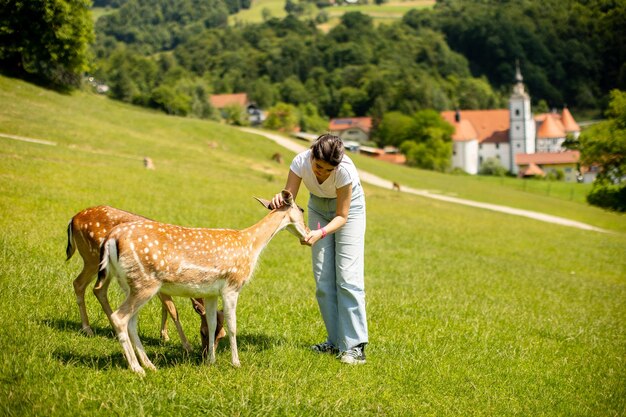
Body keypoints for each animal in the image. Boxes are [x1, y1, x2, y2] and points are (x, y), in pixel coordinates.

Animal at [66, 205, 225, 352]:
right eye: (203, 332)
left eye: (222, 336)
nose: (205, 354)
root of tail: (73, 219)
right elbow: (173, 310)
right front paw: (187, 346)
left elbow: (165, 308)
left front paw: (164, 336)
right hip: (92, 258)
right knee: (79, 283)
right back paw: (88, 329)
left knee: (96, 289)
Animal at [98, 190, 310, 372]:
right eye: (302, 210)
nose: (307, 233)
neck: (251, 245)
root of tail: (111, 238)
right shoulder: (232, 285)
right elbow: (233, 325)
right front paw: (236, 363)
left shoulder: (210, 293)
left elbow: (213, 322)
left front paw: (210, 361)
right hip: (145, 283)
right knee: (119, 317)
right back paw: (137, 369)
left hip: (128, 283)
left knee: (131, 321)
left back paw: (150, 365)